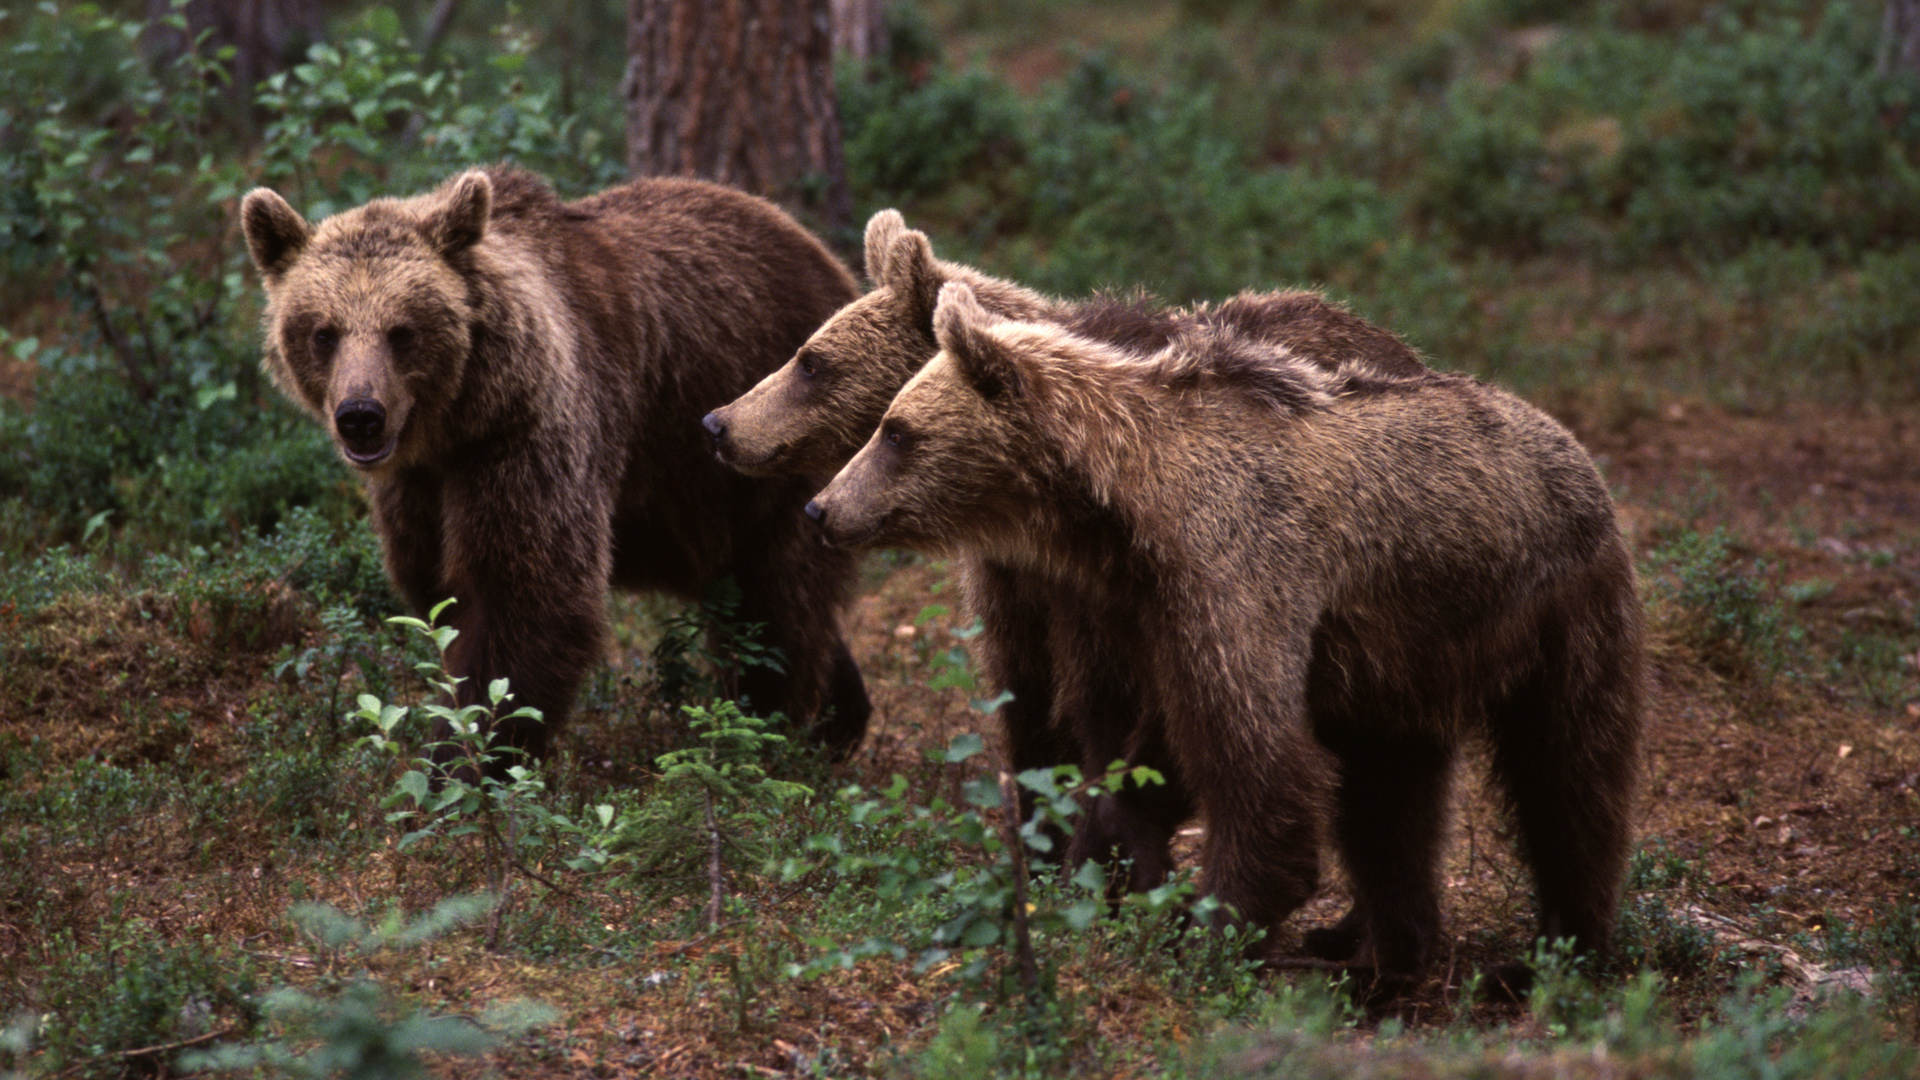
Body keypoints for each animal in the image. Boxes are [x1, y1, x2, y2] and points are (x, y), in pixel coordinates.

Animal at [243, 164, 875, 760]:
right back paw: (839, 716)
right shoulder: (419, 487)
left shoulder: (526, 439)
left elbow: (526, 597)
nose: (360, 415)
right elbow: (440, 594)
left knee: (774, 599)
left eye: (403, 332)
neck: (456, 423)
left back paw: (765, 725)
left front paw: (467, 758)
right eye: (324, 332)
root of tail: (826, 256)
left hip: (772, 443)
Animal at [702, 212, 1428, 891]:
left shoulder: (1115, 596)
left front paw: (1103, 858)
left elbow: (1116, 718)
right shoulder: (1016, 592)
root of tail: (1389, 337)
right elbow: (1029, 711)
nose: (719, 423)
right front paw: (1045, 849)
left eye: (811, 361)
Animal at [802, 278, 1643, 983]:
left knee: (1569, 778)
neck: (1121, 510)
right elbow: (1151, 753)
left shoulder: (1234, 574)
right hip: (1399, 657)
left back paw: (1553, 951)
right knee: (1391, 799)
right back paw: (1387, 957)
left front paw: (1205, 930)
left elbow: (1257, 766)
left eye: (896, 432)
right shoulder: (1153, 613)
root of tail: (1569, 441)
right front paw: (1108, 873)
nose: (822, 506)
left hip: (1558, 610)